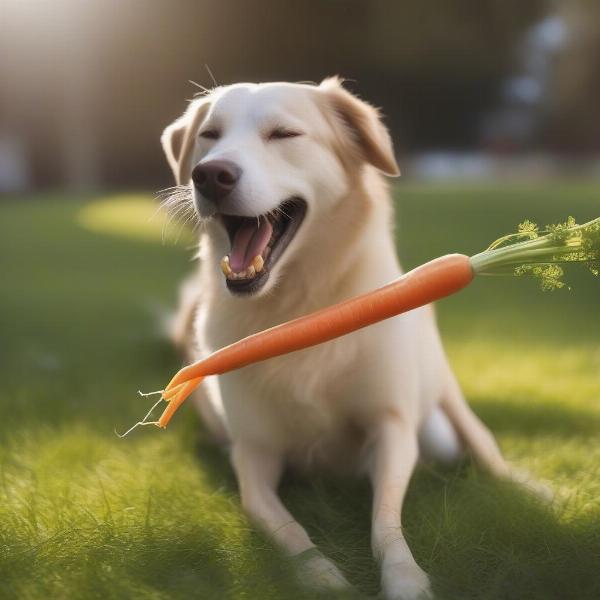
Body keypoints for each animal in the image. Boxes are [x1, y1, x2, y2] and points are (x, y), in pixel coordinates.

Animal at [161, 77, 536, 596]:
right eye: (210, 135)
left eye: (283, 134)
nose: (209, 175)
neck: (299, 310)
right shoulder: (254, 453)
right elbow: (286, 526)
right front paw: (321, 577)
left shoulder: (391, 424)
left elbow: (386, 520)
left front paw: (405, 578)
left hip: (441, 385)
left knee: (477, 439)